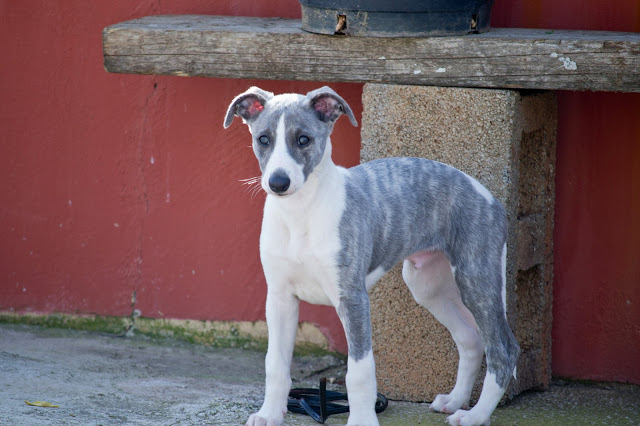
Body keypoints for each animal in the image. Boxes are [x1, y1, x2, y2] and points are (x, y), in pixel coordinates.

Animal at [224, 86, 519, 426]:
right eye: (263, 139)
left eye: (304, 139)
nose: (278, 183)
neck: (302, 213)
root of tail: (489, 197)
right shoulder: (280, 298)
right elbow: (275, 363)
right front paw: (270, 414)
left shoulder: (352, 298)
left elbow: (359, 371)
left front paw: (362, 420)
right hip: (428, 284)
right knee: (470, 339)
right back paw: (455, 401)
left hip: (476, 279)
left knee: (503, 350)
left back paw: (475, 415)